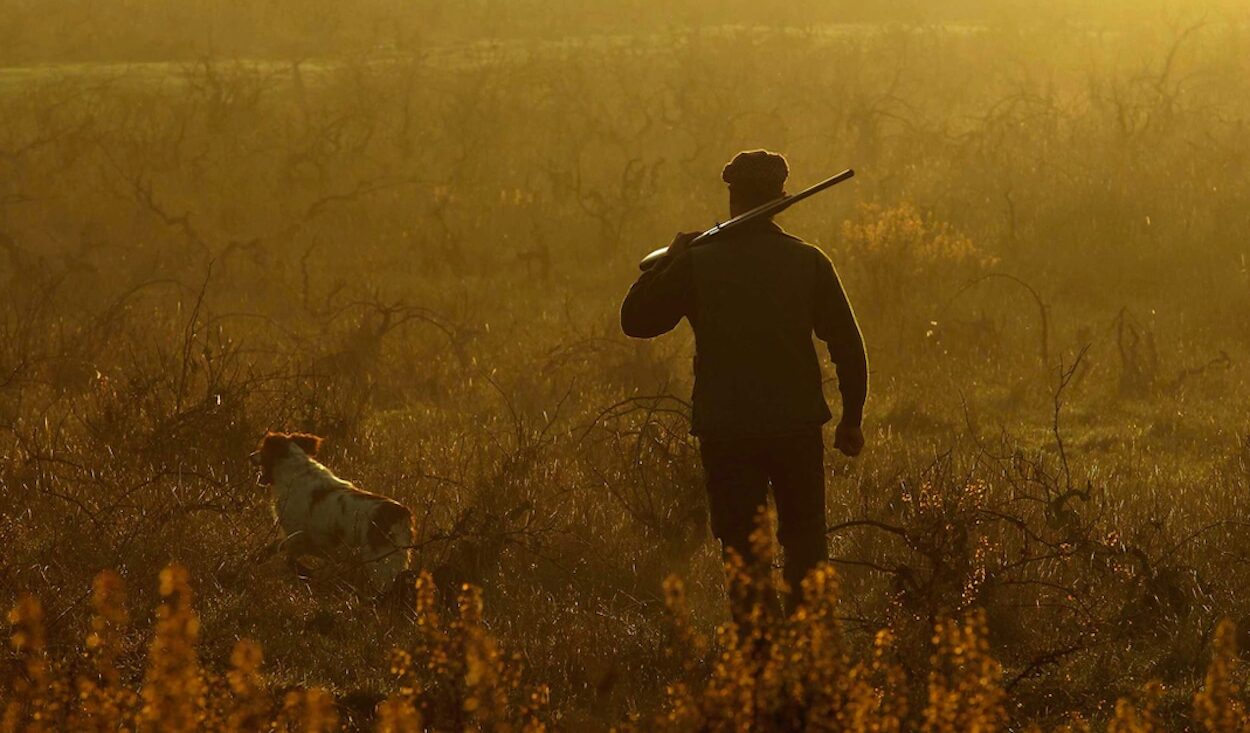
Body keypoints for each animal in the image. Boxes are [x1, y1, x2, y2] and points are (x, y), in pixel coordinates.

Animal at [250, 430, 415, 590]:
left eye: (263, 449)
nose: (250, 456)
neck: (295, 472)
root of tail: (402, 513)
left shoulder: (298, 536)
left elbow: (287, 557)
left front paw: (307, 573)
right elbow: (275, 549)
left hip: (381, 565)